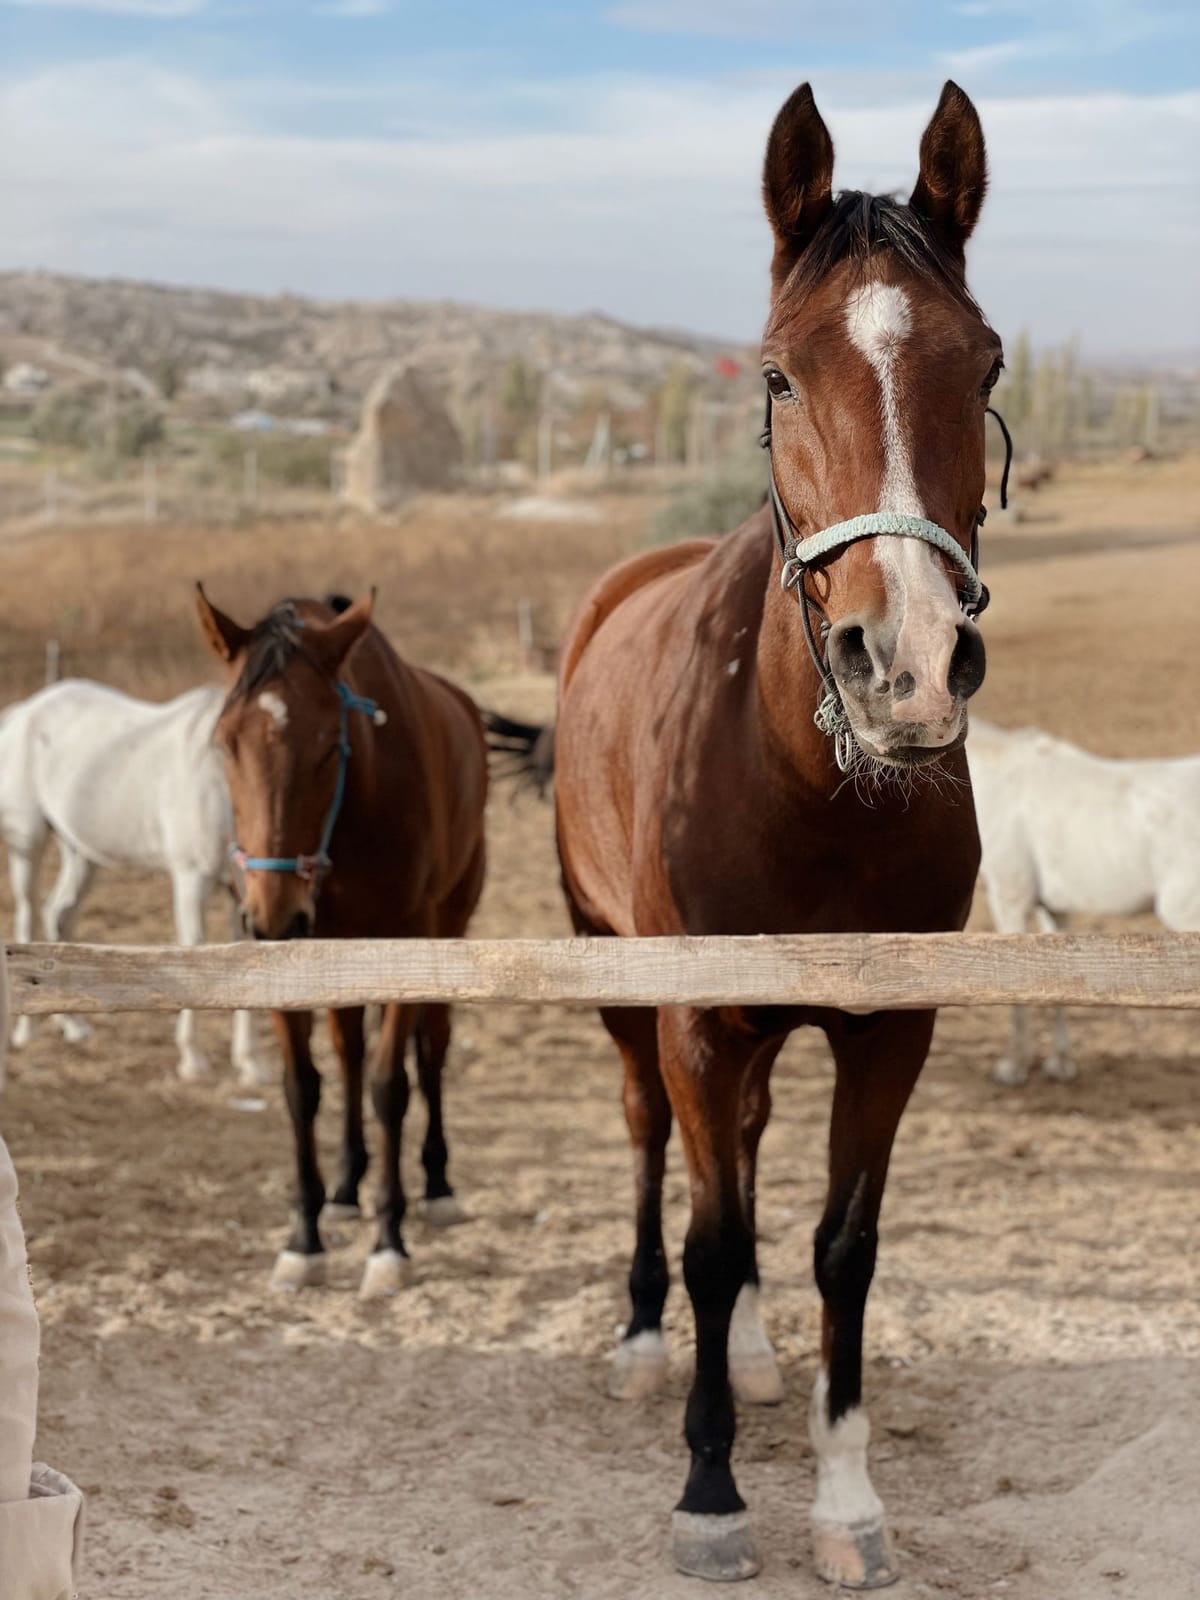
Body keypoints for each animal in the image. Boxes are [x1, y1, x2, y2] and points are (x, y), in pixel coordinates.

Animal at [0, 679, 266, 1084]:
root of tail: (23, 712)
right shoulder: (191, 878)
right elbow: (194, 948)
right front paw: (192, 1059)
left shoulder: (241, 892)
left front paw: (249, 1064)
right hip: (28, 843)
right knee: (28, 914)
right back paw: (26, 1030)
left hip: (80, 852)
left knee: (59, 915)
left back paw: (73, 1025)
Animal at [195, 588, 488, 1297]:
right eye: (226, 742)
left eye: (331, 745)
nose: (273, 918)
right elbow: (303, 1086)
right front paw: (304, 1239)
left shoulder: (410, 943)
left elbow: (390, 1085)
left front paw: (389, 1244)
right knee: (349, 1050)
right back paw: (347, 1186)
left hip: (449, 924)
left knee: (431, 1049)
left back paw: (436, 1184)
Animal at [531, 81, 1002, 1585]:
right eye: (781, 375)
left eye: (986, 366)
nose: (905, 667)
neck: (809, 790)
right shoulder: (693, 1014)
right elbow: (713, 1238)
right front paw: (710, 1494)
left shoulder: (890, 1028)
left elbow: (837, 1247)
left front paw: (846, 1502)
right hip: (623, 983)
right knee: (658, 1148)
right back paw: (648, 1347)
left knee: (735, 1150)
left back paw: (738, 1359)